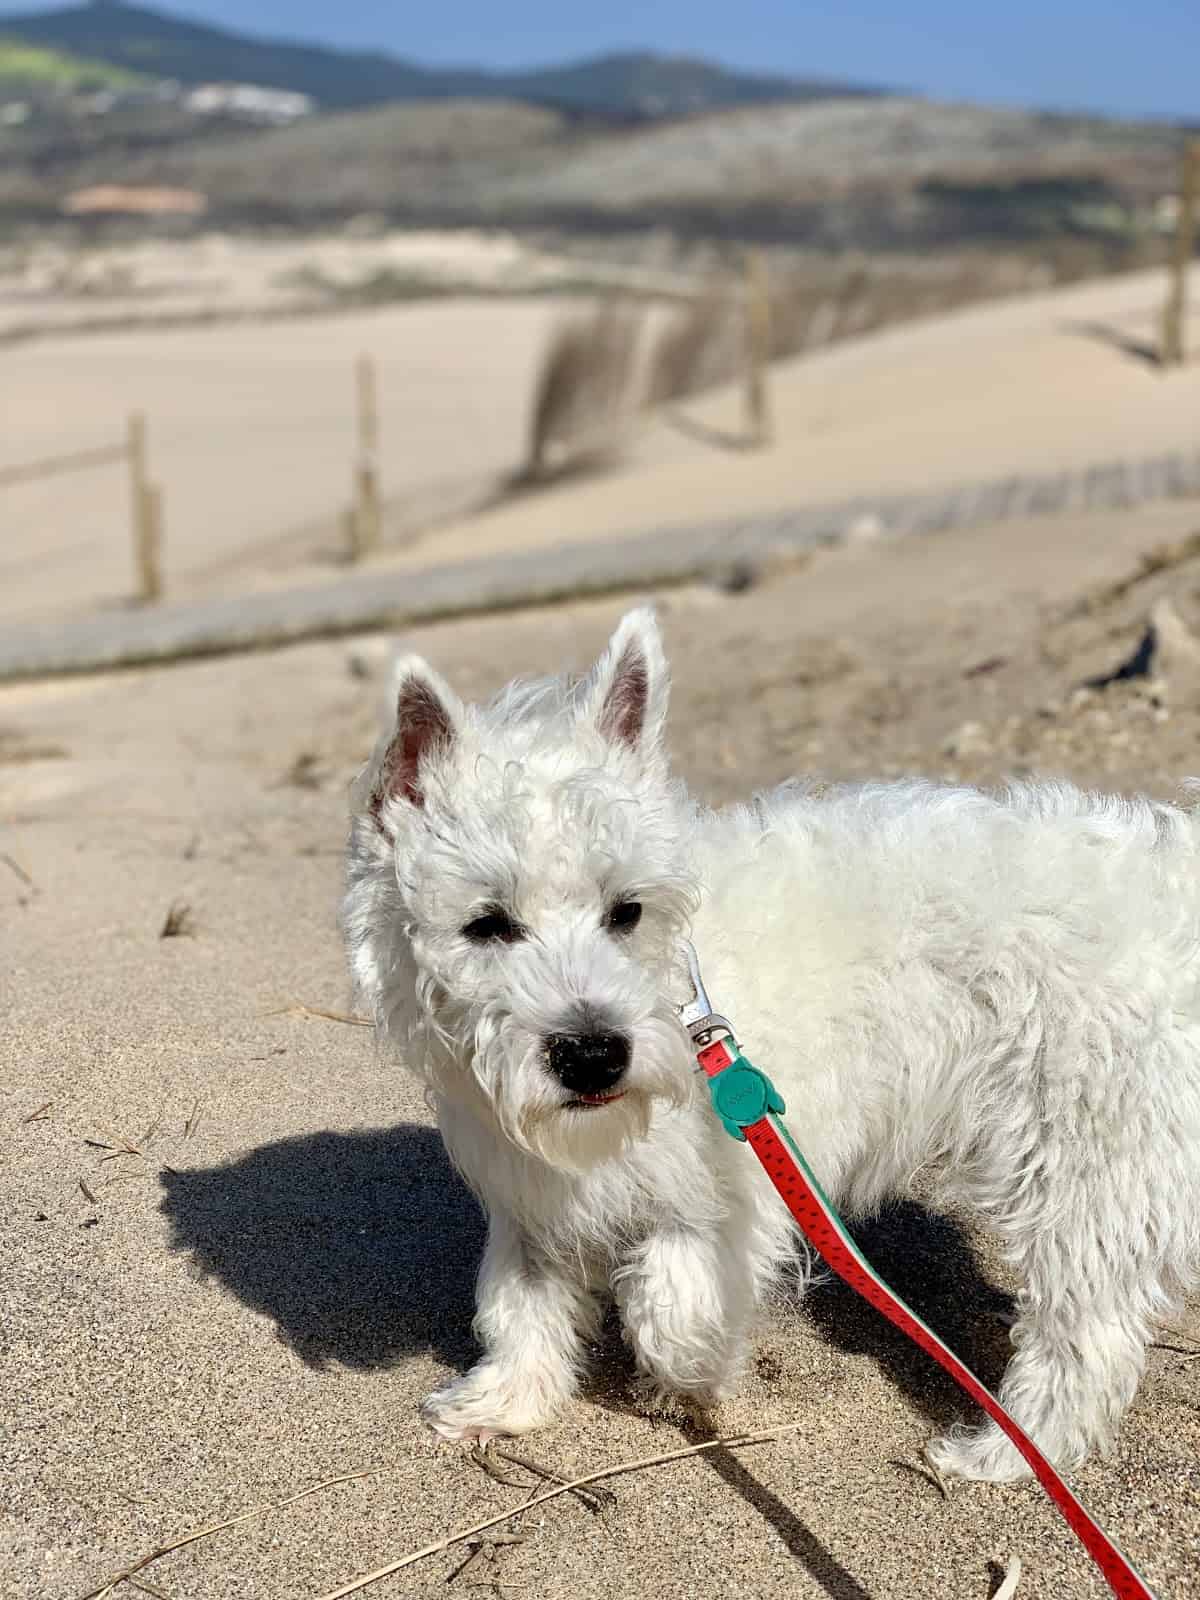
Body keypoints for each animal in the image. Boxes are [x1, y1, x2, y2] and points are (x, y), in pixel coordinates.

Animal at [340, 604, 1200, 1478]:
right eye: (485, 924)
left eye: (627, 910)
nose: (593, 1054)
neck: (680, 999)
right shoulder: (532, 1196)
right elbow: (519, 1301)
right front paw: (505, 1400)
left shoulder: (737, 1190)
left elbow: (670, 1307)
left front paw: (697, 1380)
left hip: (1082, 1173)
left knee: (1084, 1333)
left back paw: (1007, 1452)